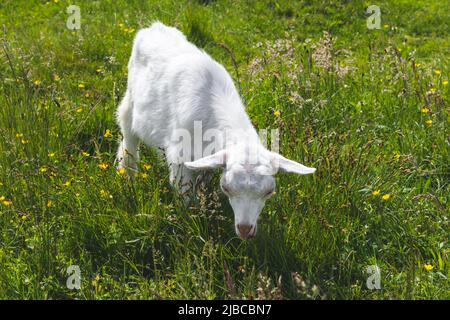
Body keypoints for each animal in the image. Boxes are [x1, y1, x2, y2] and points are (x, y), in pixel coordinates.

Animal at [117, 21, 316, 238]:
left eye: (269, 192)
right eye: (226, 188)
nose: (245, 229)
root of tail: (154, 27)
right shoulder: (179, 158)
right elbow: (186, 196)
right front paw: (191, 221)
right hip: (131, 99)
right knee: (127, 131)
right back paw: (126, 172)